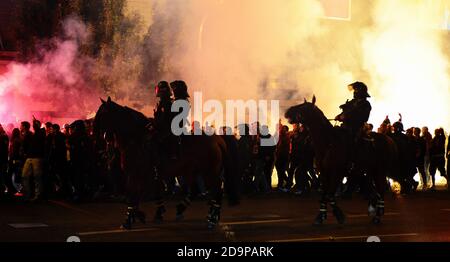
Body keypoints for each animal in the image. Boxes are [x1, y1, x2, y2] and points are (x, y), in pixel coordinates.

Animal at [92, 97, 239, 229]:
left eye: (103, 114)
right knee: (197, 191)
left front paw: (129, 220)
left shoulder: (136, 174)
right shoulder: (144, 176)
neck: (135, 140)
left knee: (217, 191)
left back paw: (212, 219)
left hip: (209, 172)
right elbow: (139, 196)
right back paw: (195, 212)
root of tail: (217, 139)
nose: (94, 136)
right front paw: (140, 215)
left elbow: (132, 195)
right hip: (194, 171)